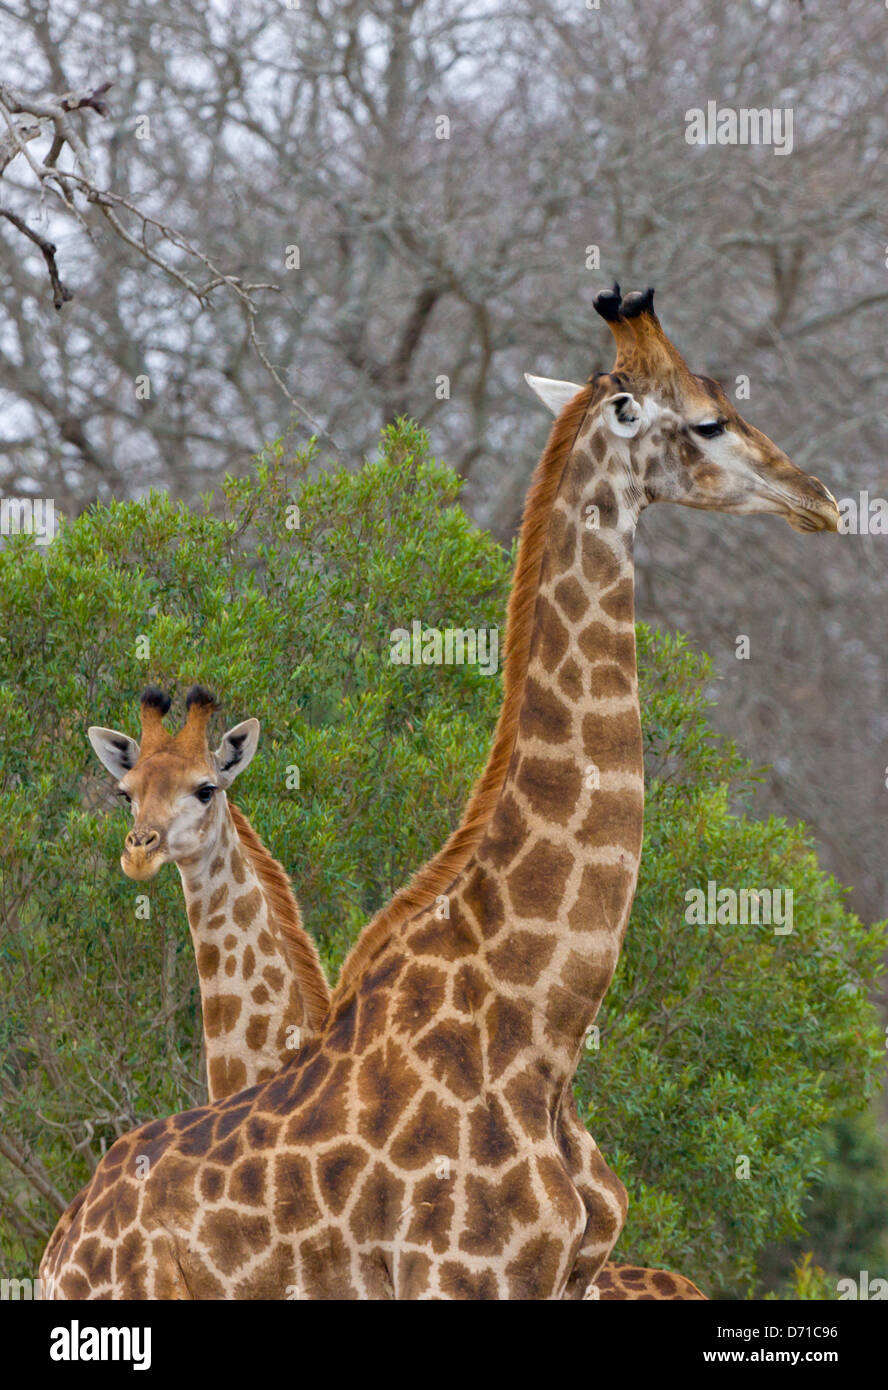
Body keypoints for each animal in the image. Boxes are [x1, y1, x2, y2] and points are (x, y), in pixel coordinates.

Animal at [41, 284, 839, 1301]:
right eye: (709, 420)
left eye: (205, 791)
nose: (818, 500)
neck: (538, 1020)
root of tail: (63, 1239)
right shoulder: (461, 1276)